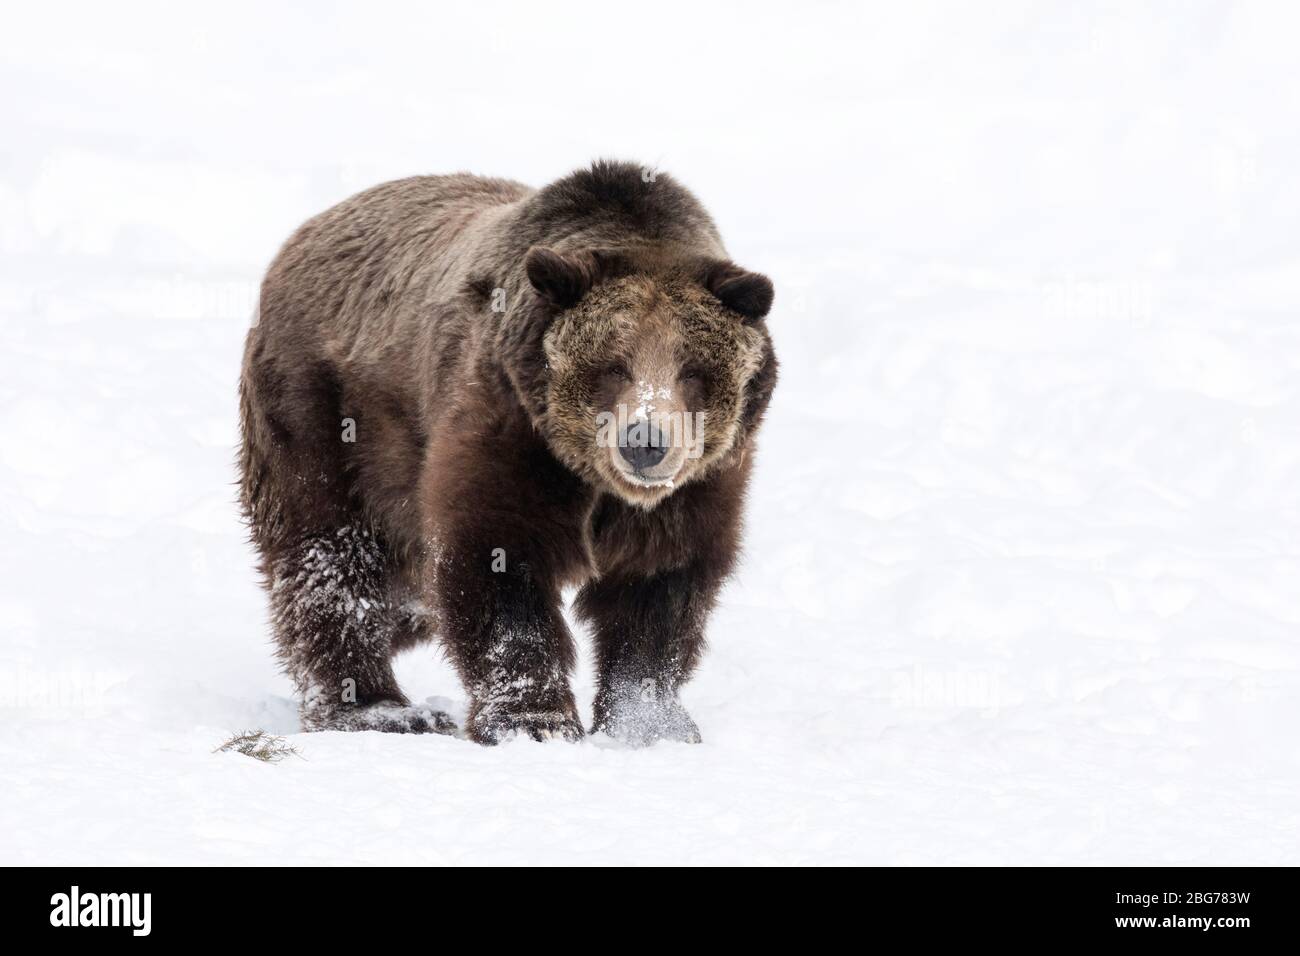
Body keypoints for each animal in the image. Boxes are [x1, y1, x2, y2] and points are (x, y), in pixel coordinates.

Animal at [239, 158, 774, 749]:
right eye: (612, 366)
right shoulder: (508, 427)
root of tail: (302, 236)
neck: (593, 480)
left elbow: (659, 585)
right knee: (329, 553)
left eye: (692, 371)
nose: (644, 441)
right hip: (327, 413)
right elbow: (498, 557)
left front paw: (650, 725)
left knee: (399, 590)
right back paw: (377, 708)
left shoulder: (698, 484)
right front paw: (533, 721)